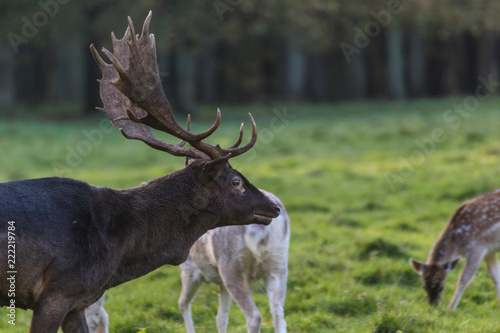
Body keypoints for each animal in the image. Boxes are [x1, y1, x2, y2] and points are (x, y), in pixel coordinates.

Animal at [179, 189, 290, 332]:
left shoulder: (190, 270)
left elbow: (183, 303)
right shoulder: (221, 283)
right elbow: (221, 317)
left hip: (231, 266)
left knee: (254, 316)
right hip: (278, 262)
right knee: (279, 316)